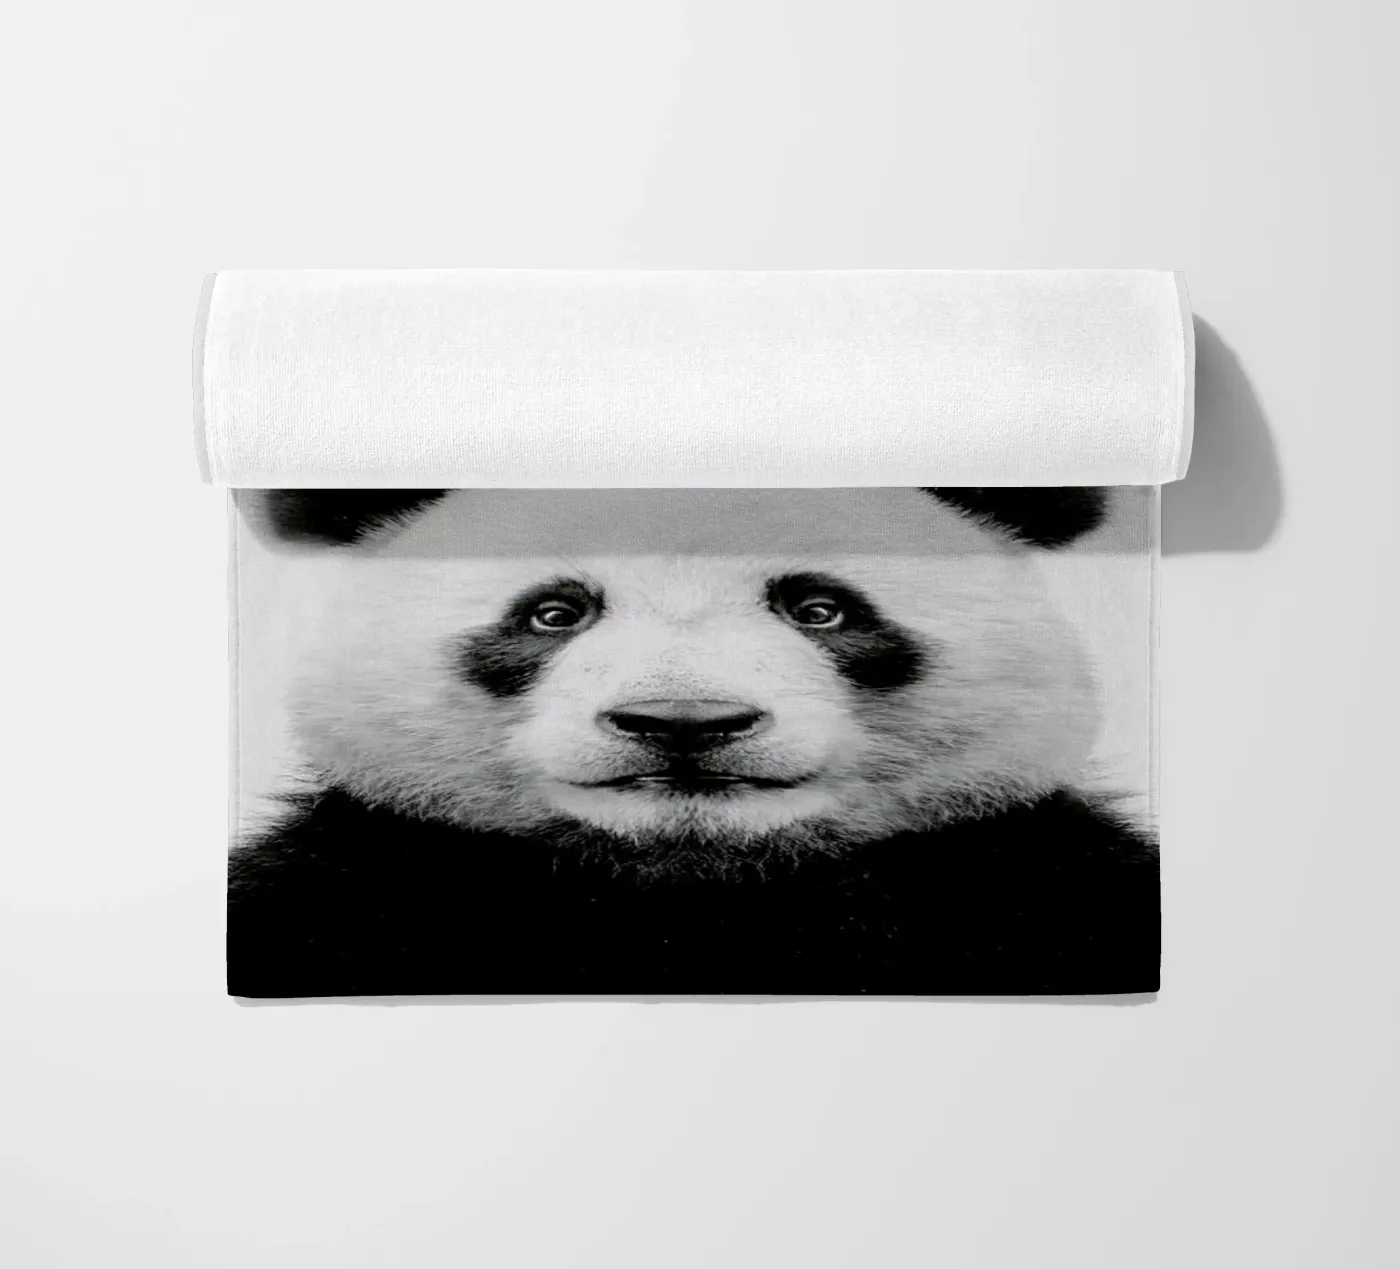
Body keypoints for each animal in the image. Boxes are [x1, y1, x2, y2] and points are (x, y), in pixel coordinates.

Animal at [229, 487, 1158, 998]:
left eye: (820, 608)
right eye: (554, 612)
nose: (684, 721)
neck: (691, 891)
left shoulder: (1029, 883)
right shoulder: (361, 886)